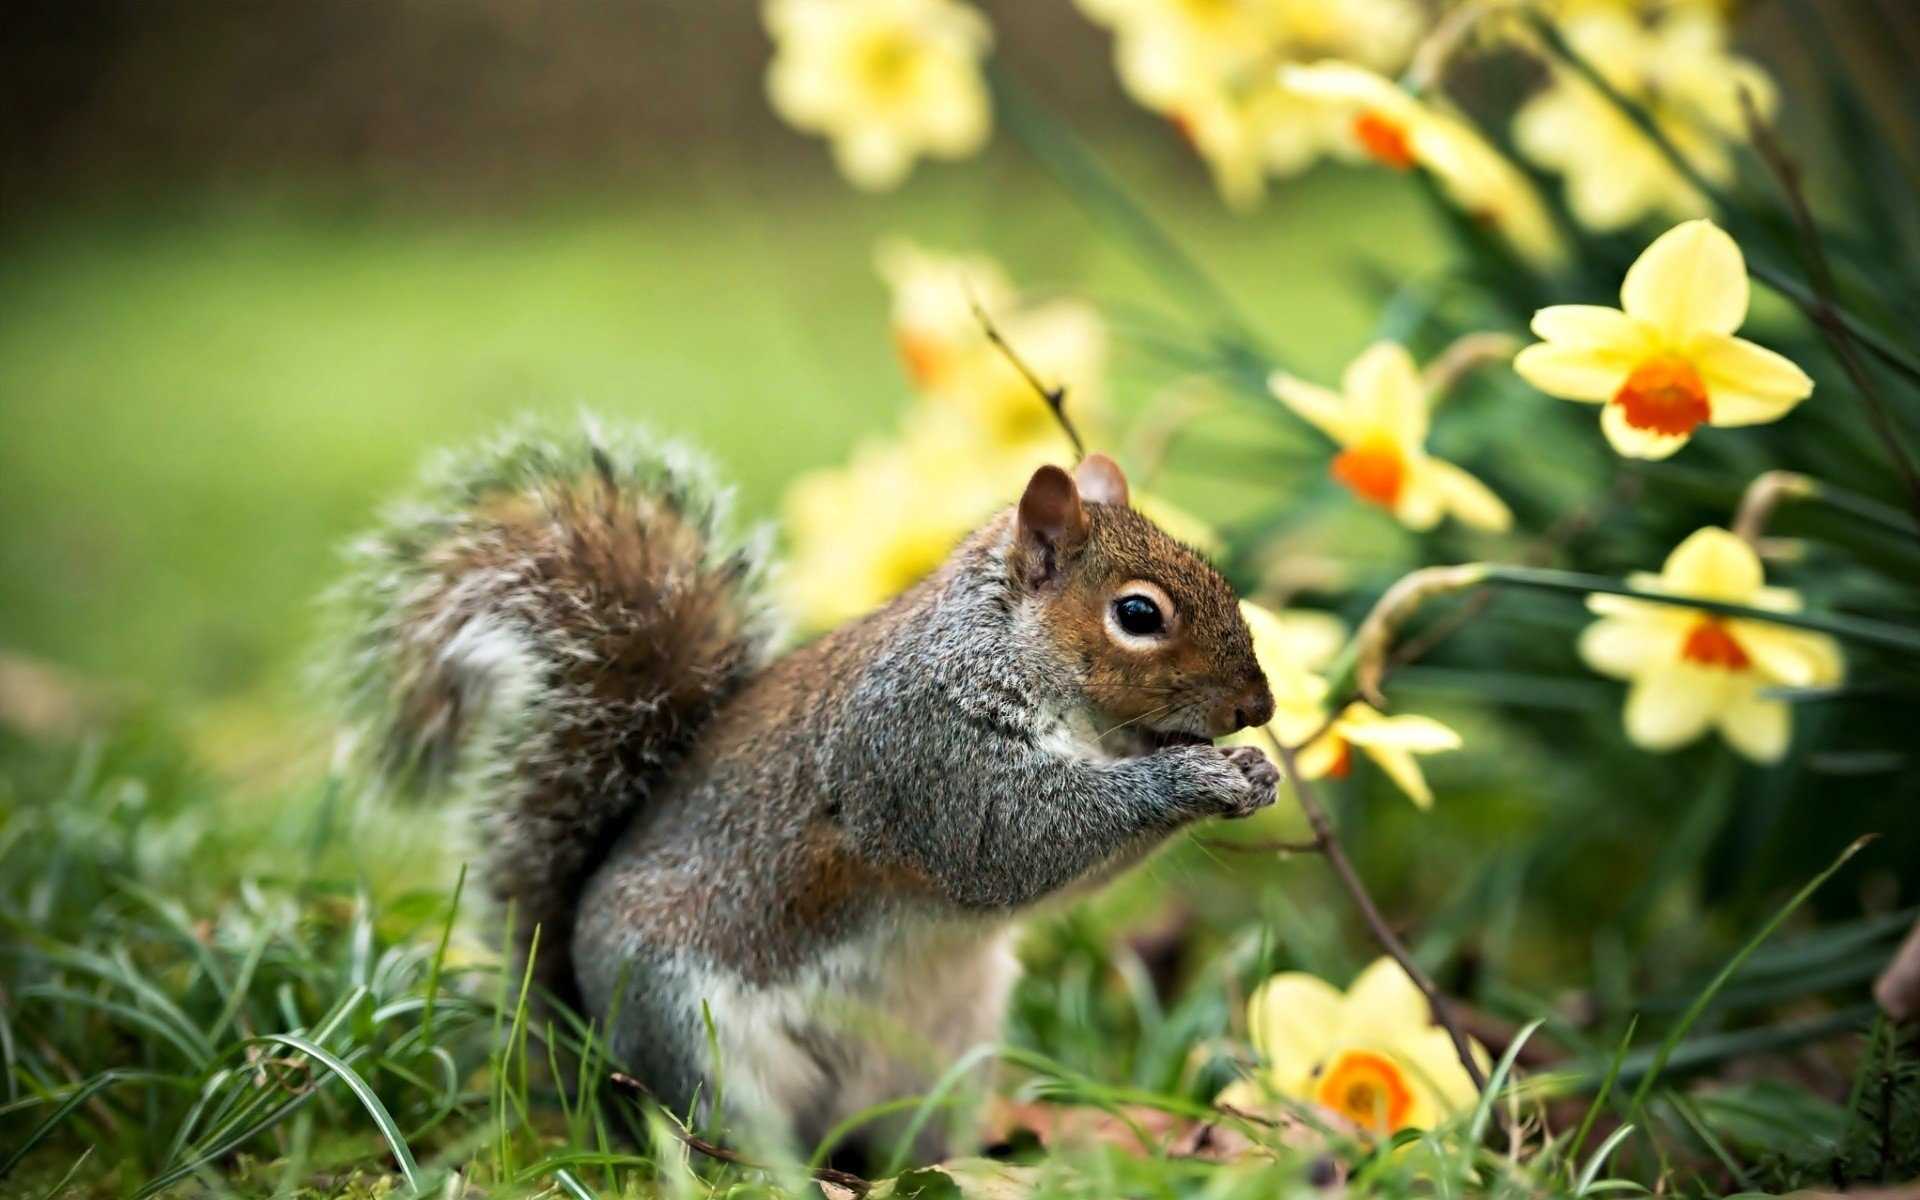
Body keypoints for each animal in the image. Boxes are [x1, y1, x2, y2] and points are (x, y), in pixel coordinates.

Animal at [334, 418, 1274, 1159]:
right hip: (696, 1036)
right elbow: (1011, 842)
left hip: (941, 1059)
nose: (1258, 709)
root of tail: (590, 1051)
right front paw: (1190, 777)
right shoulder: (919, 751)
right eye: (1139, 615)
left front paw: (1253, 773)